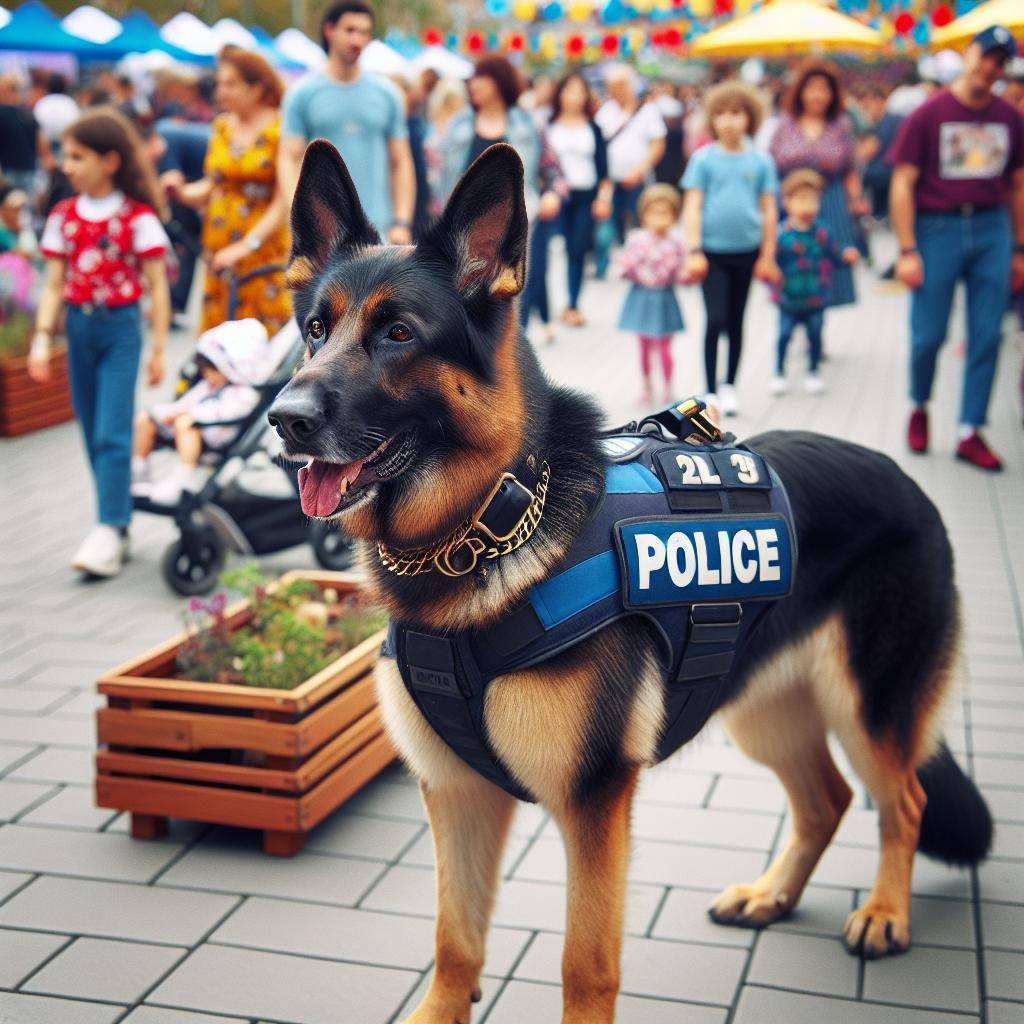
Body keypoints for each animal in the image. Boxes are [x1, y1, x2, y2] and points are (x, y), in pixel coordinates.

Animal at [270, 144, 991, 1024]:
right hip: (762, 710)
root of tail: (904, 474)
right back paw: (773, 895)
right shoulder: (456, 793)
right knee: (828, 800)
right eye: (315, 330)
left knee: (904, 803)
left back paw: (886, 913)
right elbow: (454, 942)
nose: (283, 418)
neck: (489, 528)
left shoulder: (594, 803)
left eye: (398, 333)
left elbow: (585, 965)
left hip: (867, 710)